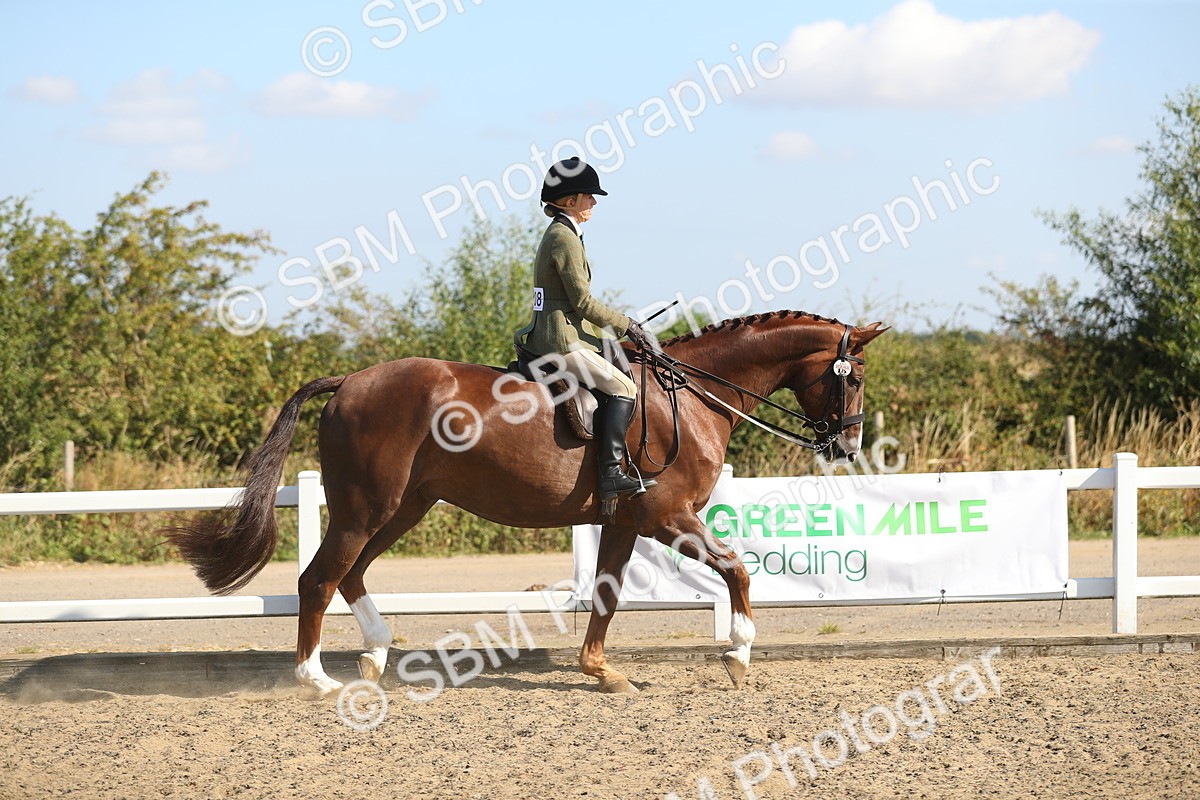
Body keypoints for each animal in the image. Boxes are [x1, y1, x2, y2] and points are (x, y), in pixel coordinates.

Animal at [168, 310, 887, 696]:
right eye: (851, 380)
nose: (849, 445)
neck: (688, 397)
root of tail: (351, 381)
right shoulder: (668, 517)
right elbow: (737, 568)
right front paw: (738, 655)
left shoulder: (625, 522)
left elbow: (606, 594)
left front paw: (601, 671)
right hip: (365, 507)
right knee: (319, 579)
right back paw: (316, 680)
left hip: (402, 507)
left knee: (353, 575)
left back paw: (375, 653)